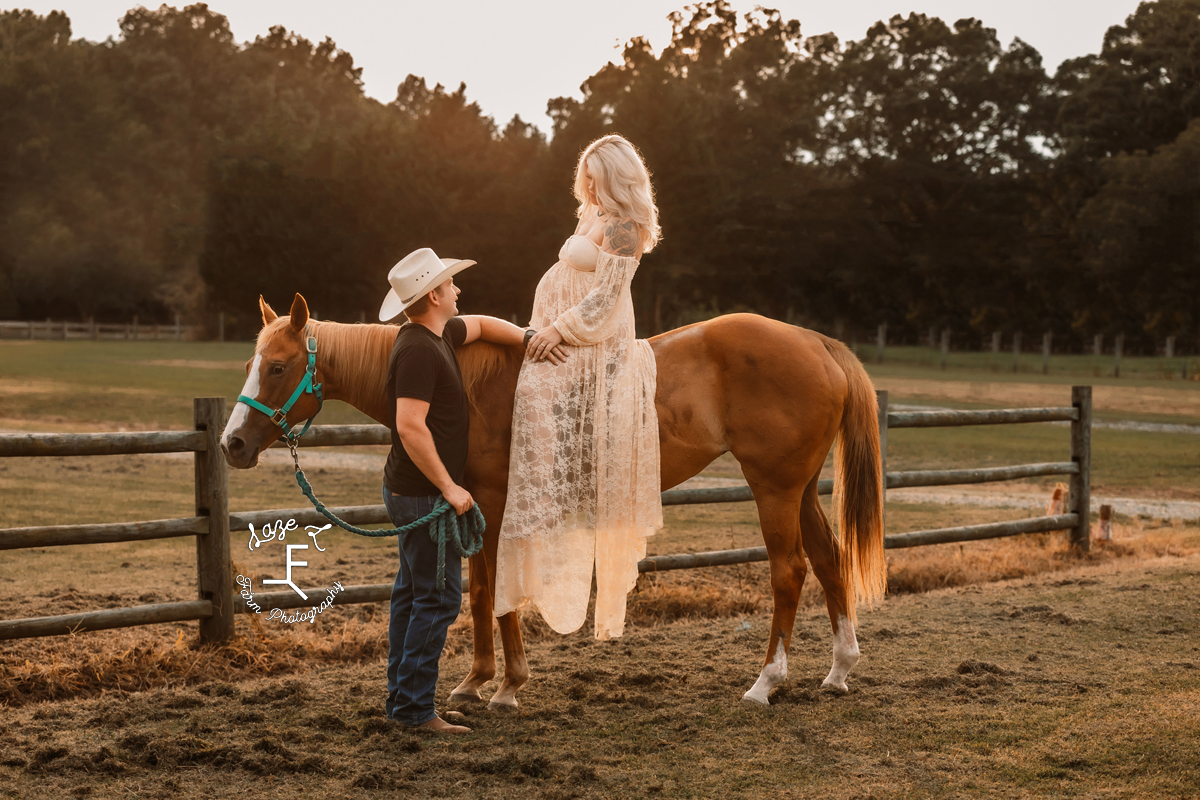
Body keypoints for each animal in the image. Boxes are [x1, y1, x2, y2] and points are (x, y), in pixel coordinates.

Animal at [220, 296, 888, 705]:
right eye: (252, 360)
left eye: (277, 367)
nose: (232, 443)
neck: (463, 379)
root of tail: (815, 342)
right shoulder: (470, 507)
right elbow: (481, 592)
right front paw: (477, 682)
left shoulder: (493, 505)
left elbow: (495, 593)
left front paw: (505, 685)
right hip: (799, 490)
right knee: (829, 562)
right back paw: (837, 670)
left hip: (774, 488)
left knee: (789, 571)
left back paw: (765, 682)